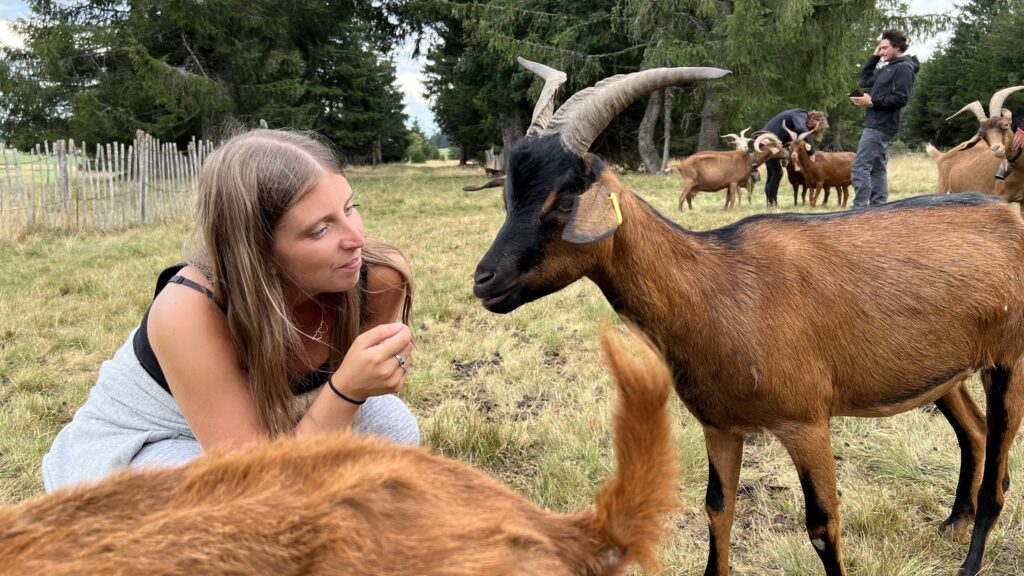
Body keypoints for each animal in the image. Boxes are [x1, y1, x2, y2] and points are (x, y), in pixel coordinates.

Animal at [473, 57, 1024, 573]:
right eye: (509, 195)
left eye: (563, 199)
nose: (484, 280)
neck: (716, 284)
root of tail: (1009, 215)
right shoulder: (720, 425)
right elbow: (717, 509)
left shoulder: (806, 422)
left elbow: (823, 524)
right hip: (942, 372)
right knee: (974, 432)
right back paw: (954, 522)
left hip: (1008, 364)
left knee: (998, 475)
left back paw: (969, 560)